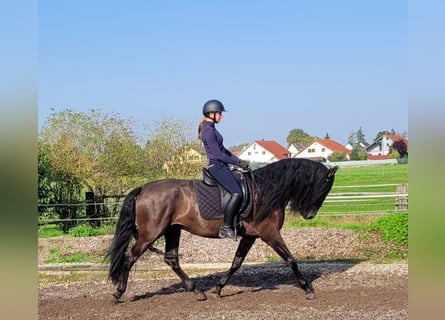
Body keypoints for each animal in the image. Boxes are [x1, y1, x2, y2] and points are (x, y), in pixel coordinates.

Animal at [107, 158, 336, 302]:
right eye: (323, 187)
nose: (310, 215)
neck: (265, 191)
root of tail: (143, 189)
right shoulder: (269, 233)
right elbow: (290, 259)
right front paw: (308, 289)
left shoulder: (250, 236)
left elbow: (236, 263)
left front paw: (218, 288)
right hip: (150, 234)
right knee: (129, 258)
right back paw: (118, 294)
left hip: (172, 230)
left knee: (171, 259)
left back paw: (197, 291)